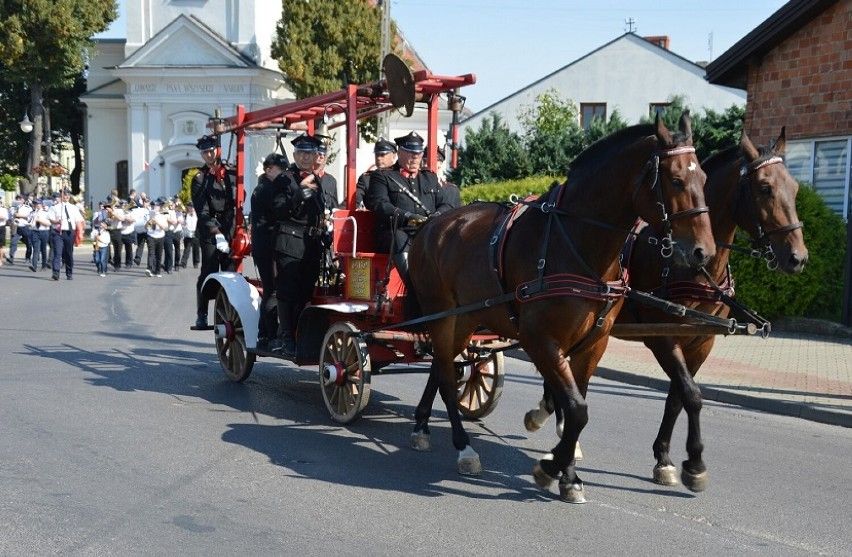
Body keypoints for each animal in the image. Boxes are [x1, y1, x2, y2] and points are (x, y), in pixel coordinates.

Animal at [406, 114, 712, 504]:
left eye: (703, 179)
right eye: (675, 180)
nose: (703, 252)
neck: (577, 242)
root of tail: (430, 224)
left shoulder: (594, 343)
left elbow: (577, 405)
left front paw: (568, 474)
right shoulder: (541, 340)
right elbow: (577, 409)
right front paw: (551, 467)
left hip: (464, 319)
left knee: (441, 367)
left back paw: (422, 425)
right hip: (443, 315)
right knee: (446, 376)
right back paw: (464, 447)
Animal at [524, 127, 808, 490]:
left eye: (795, 188)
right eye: (764, 188)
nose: (798, 257)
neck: (693, 268)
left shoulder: (701, 342)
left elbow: (678, 398)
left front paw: (666, 458)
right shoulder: (662, 338)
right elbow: (692, 394)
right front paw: (694, 463)